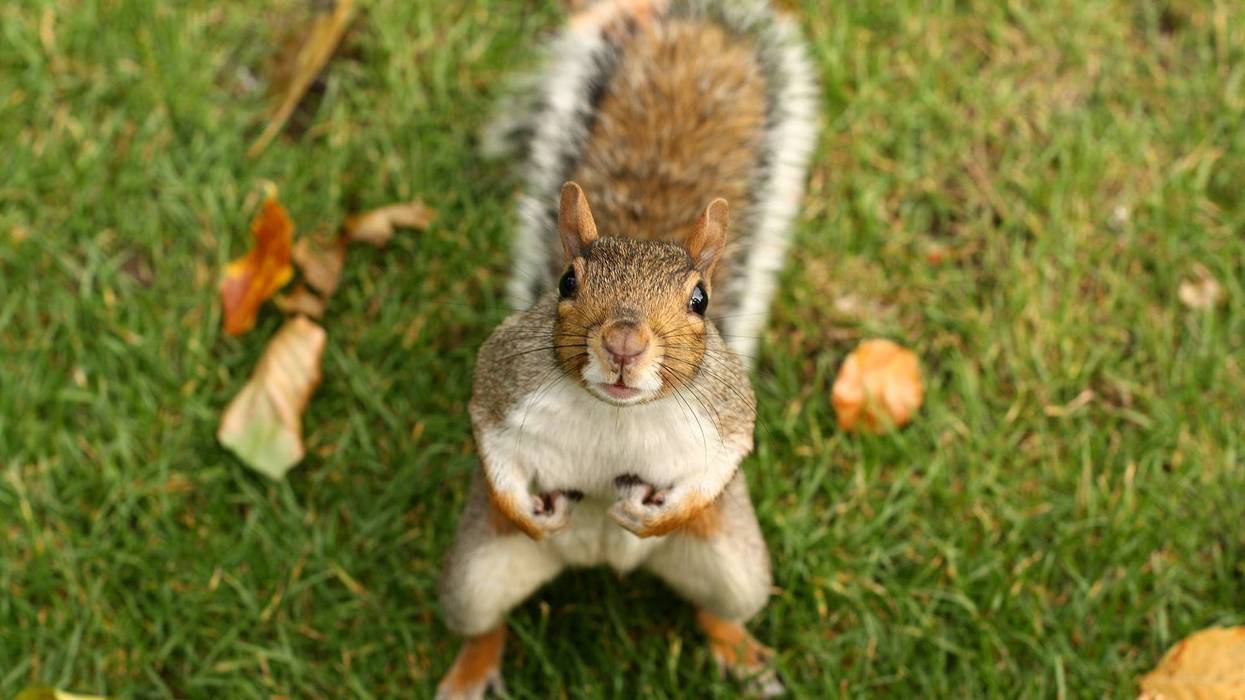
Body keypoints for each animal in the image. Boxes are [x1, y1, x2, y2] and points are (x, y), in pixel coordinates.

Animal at [436, 1, 816, 698]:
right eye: (567, 282)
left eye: (700, 299)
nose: (623, 342)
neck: (615, 411)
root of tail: (599, 562)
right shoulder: (501, 379)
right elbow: (490, 439)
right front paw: (524, 510)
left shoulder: (728, 411)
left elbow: (724, 459)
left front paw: (664, 514)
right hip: (473, 577)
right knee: (484, 623)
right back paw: (470, 670)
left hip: (738, 567)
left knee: (717, 606)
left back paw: (740, 651)